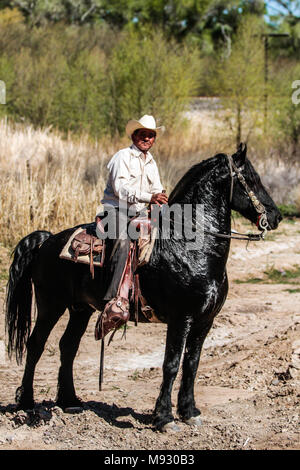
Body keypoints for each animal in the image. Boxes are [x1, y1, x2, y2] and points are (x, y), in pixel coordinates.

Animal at [4, 143, 282, 430]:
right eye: (251, 179)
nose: (276, 216)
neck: (190, 246)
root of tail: (46, 241)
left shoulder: (205, 321)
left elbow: (192, 364)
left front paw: (189, 411)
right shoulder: (181, 319)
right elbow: (171, 364)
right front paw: (164, 418)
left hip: (80, 309)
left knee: (67, 347)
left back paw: (69, 401)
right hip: (51, 305)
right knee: (36, 344)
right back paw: (27, 403)